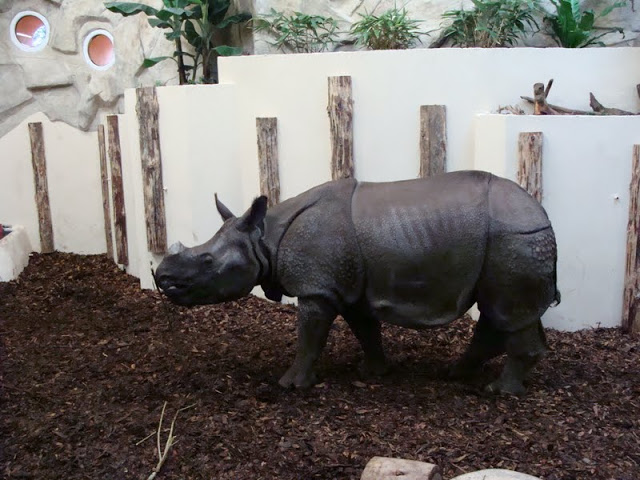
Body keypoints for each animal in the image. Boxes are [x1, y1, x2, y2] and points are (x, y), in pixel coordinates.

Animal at [155, 170, 560, 395]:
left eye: (207, 261)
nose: (162, 279)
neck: (264, 239)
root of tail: (541, 211)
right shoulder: (347, 287)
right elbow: (365, 330)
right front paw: (375, 372)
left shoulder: (317, 289)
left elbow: (310, 337)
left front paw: (290, 385)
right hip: (509, 241)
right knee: (500, 311)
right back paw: (456, 373)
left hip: (513, 238)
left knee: (508, 311)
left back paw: (499, 392)